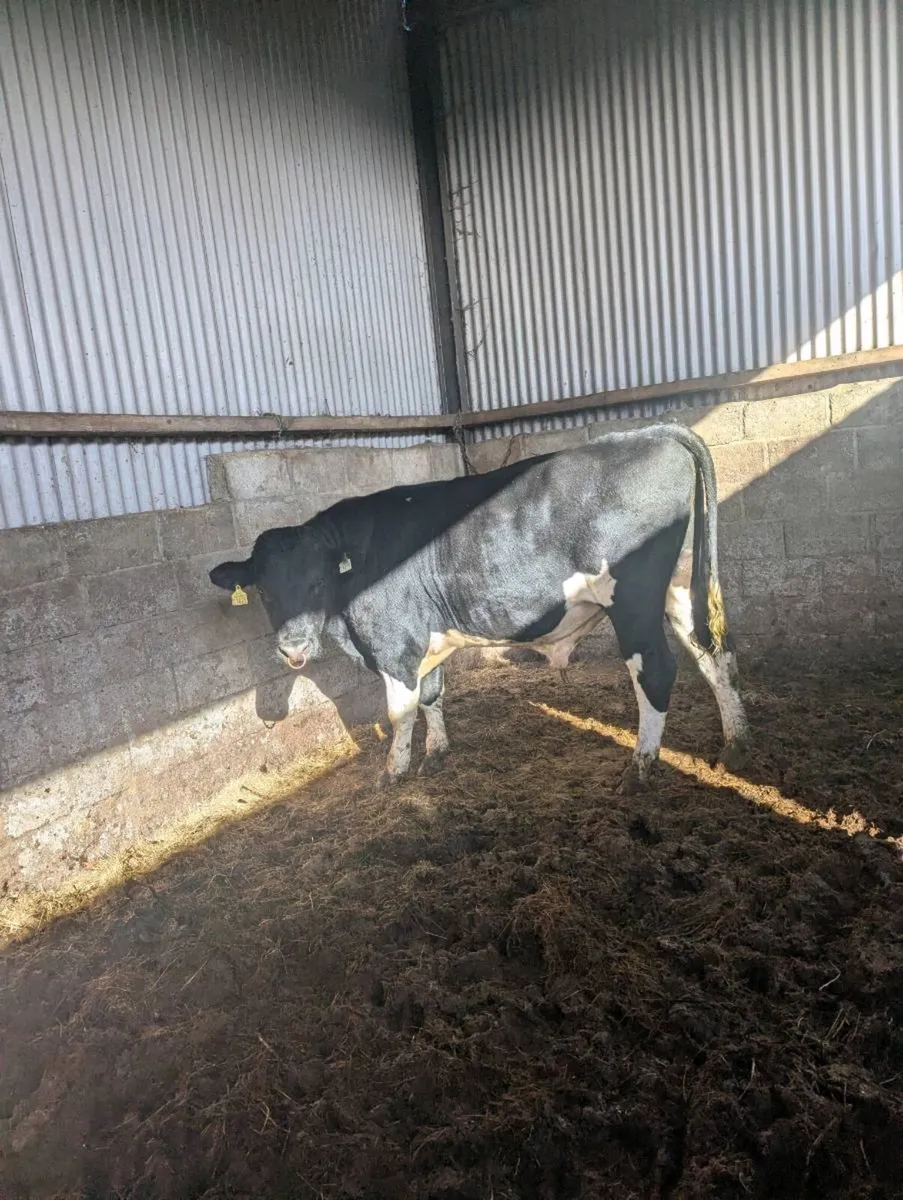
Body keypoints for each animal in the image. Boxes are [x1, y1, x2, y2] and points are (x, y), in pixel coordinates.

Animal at [209, 425, 750, 793]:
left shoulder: (394, 645)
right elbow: (432, 696)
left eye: (317, 581)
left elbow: (400, 711)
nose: (293, 648)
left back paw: (639, 768)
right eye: (264, 591)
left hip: (633, 599)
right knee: (712, 653)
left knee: (655, 668)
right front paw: (436, 755)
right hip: (679, 585)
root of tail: (649, 431)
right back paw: (735, 745)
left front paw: (393, 771)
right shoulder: (425, 638)